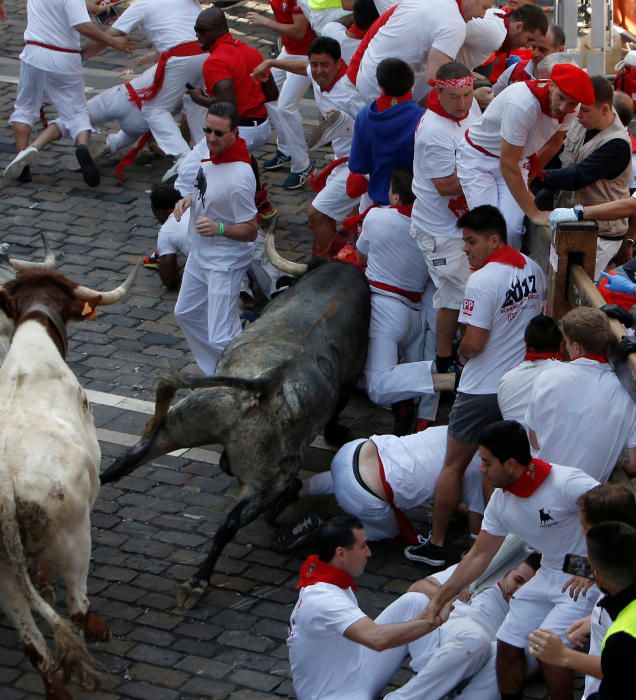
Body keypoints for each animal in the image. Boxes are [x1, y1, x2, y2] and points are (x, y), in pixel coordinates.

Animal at [100, 260, 372, 608]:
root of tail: (266, 382)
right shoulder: (351, 373)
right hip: (263, 482)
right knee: (229, 526)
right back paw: (199, 581)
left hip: (185, 422)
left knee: (122, 464)